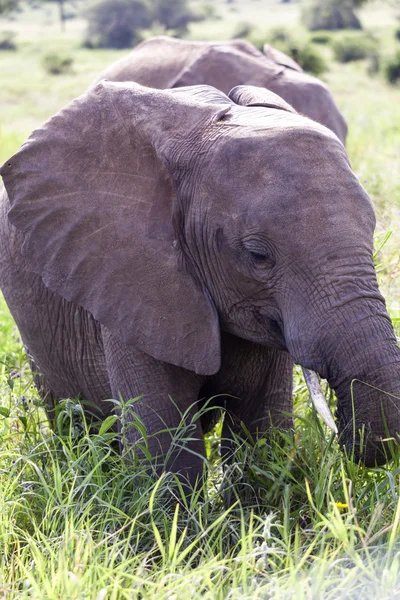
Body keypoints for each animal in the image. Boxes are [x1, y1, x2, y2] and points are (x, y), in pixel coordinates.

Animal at [0, 81, 400, 488]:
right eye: (258, 255)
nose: (341, 432)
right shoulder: (129, 281)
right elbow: (166, 454)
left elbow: (260, 434)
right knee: (74, 422)